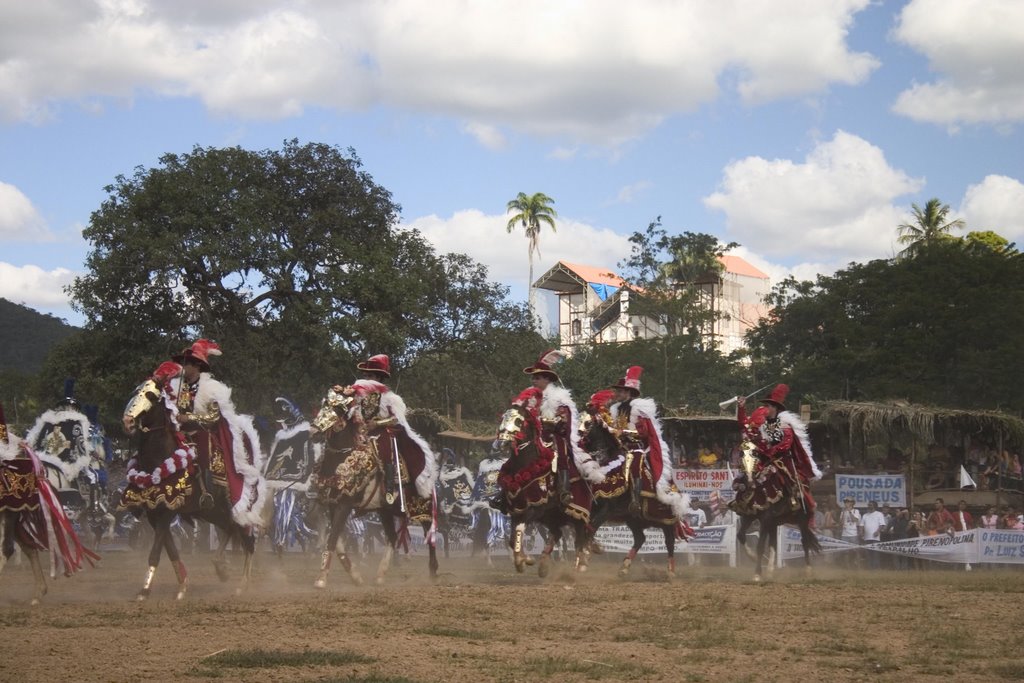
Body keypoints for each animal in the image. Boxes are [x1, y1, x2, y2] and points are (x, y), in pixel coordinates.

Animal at [120, 376, 260, 602]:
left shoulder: (168, 510)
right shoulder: (153, 512)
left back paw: (242, 585)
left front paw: (145, 590)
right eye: (136, 392)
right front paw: (182, 585)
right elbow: (170, 549)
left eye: (150, 395)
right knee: (229, 529)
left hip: (237, 509)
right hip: (213, 511)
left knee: (248, 539)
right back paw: (221, 569)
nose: (128, 421)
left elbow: (156, 551)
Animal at [311, 389, 440, 589]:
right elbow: (336, 541)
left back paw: (433, 572)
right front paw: (355, 575)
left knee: (429, 534)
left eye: (337, 409)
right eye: (324, 404)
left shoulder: (344, 505)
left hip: (421, 508)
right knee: (392, 538)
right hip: (385, 510)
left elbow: (332, 538)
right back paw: (380, 575)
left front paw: (321, 578)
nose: (314, 431)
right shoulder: (333, 504)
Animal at [491, 405, 589, 577]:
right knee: (557, 534)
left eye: (518, 421)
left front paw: (522, 561)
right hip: (550, 517)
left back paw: (578, 568)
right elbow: (512, 539)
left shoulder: (534, 508)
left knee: (579, 539)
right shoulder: (517, 510)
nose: (501, 443)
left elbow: (519, 530)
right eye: (503, 418)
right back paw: (543, 565)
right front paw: (525, 559)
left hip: (576, 514)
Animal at [733, 444, 819, 581]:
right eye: (741, 455)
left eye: (755, 455)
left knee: (804, 541)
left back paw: (808, 571)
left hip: (802, 520)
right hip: (774, 523)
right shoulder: (749, 516)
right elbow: (741, 535)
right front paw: (753, 557)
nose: (749, 479)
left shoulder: (765, 518)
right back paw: (770, 571)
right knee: (773, 543)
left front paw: (757, 574)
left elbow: (760, 545)